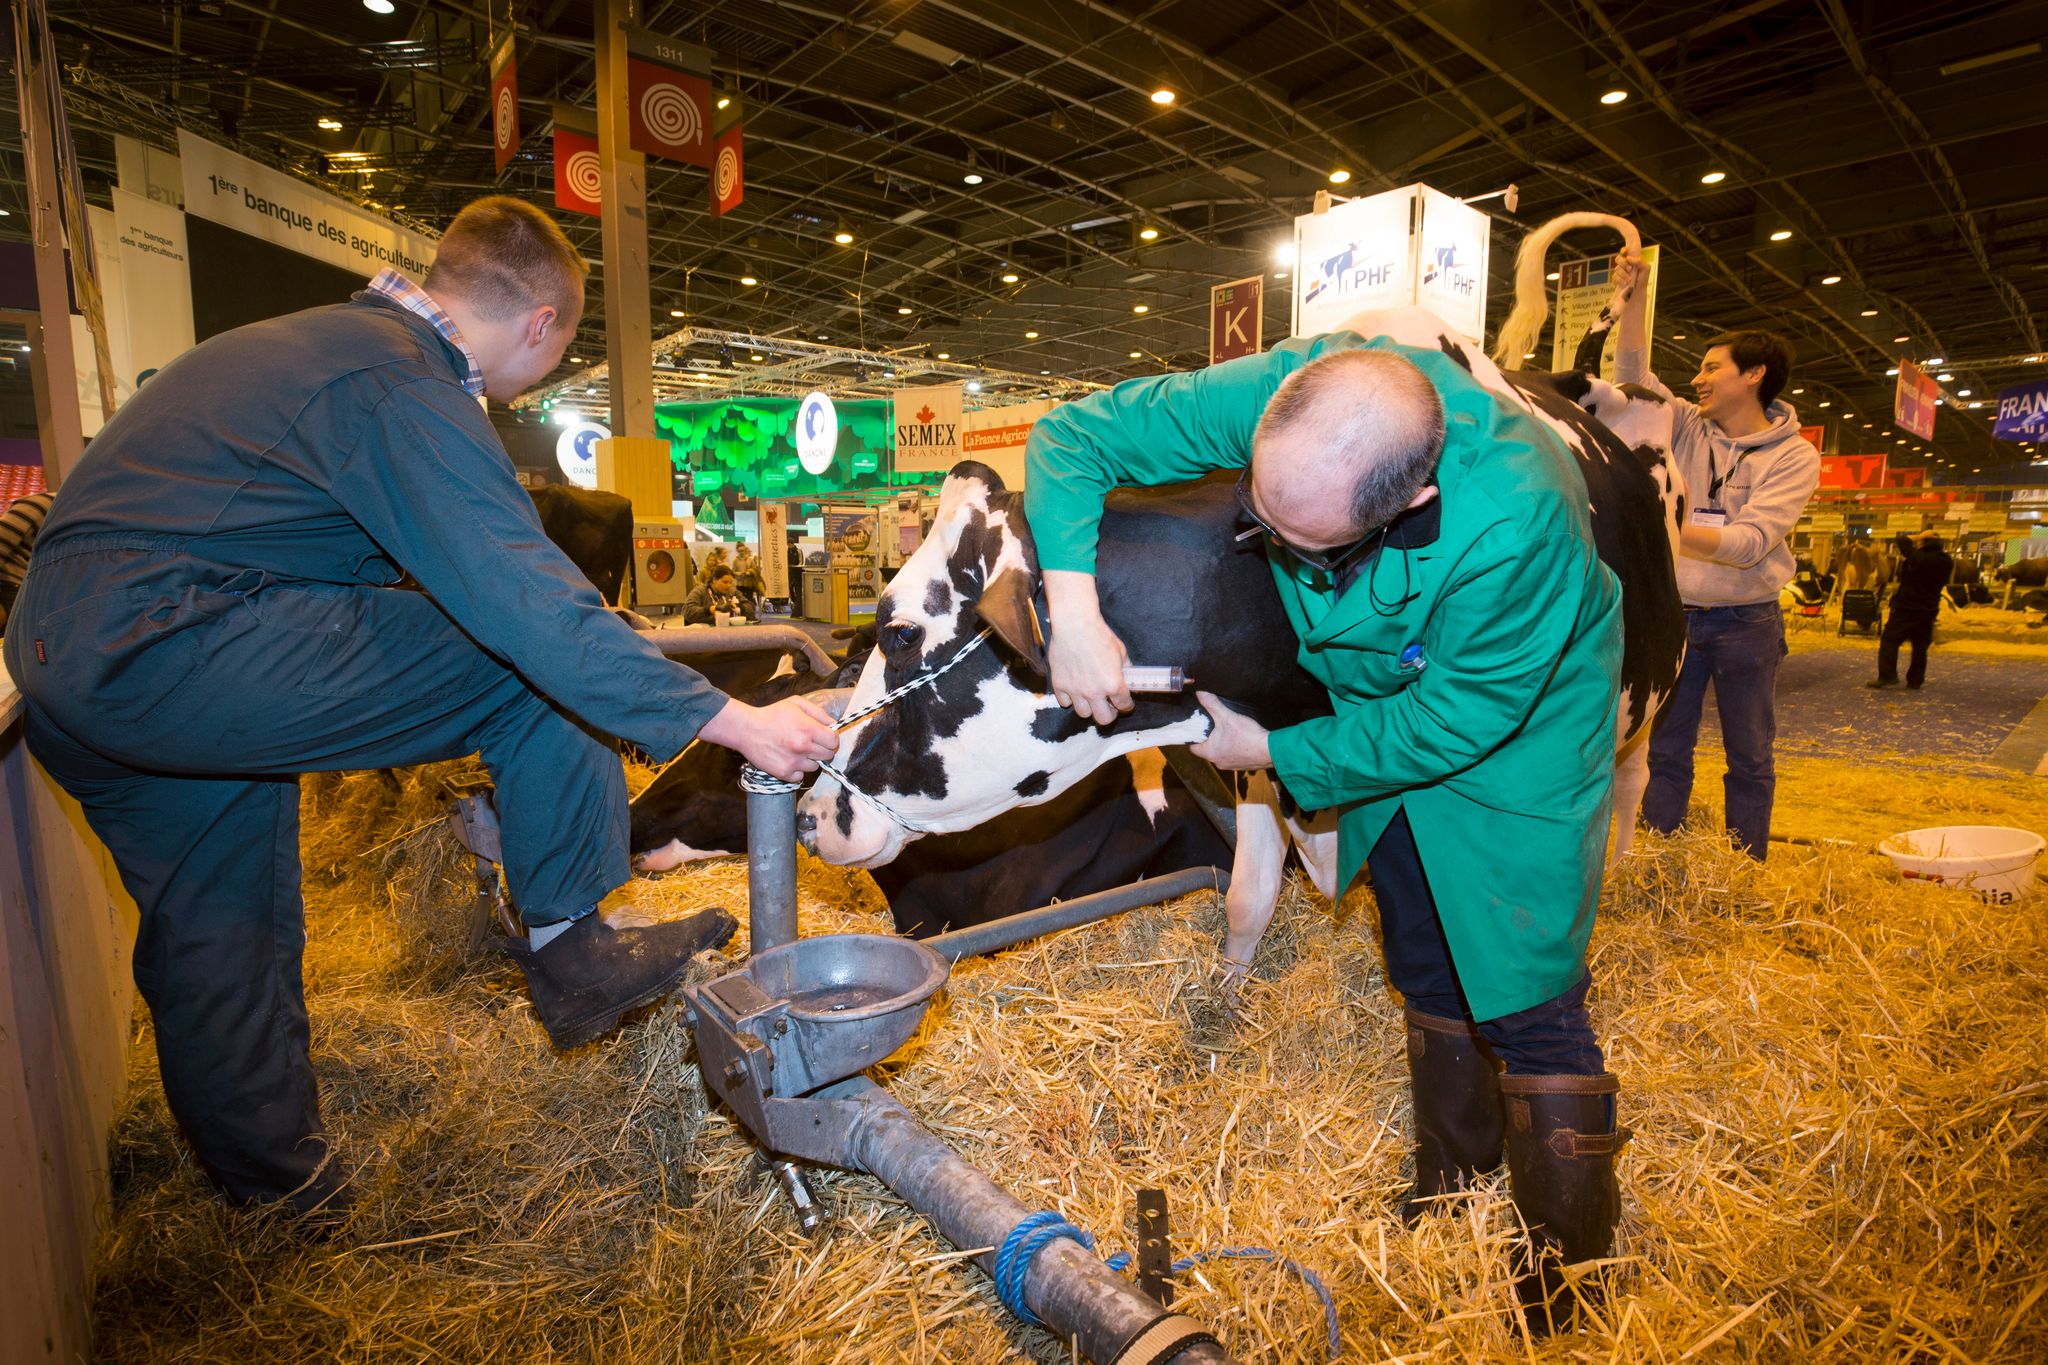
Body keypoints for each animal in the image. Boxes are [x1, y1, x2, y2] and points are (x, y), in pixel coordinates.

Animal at [794, 290, 1679, 970]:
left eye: (899, 634)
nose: (807, 814)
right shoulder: (1254, 753)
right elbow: (1249, 894)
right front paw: (1229, 989)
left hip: (1651, 695)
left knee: (1633, 781)